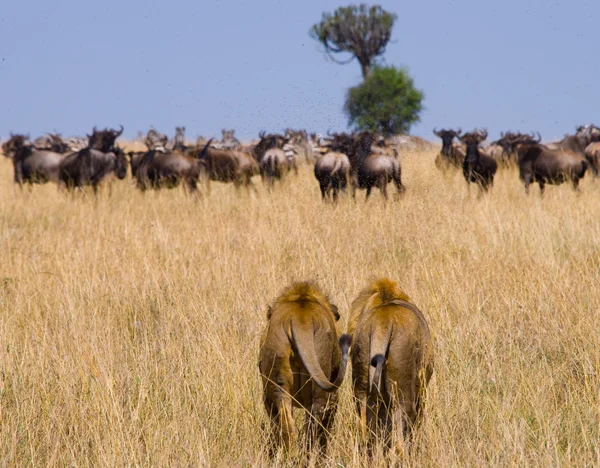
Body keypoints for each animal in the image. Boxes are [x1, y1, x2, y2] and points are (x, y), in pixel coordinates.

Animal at [258, 284, 352, 456]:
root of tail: (300, 321)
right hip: (323, 386)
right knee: (314, 424)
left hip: (278, 381)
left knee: (287, 425)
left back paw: (291, 456)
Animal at [346, 280, 436, 456]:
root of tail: (382, 323)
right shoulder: (422, 388)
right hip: (402, 385)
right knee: (404, 429)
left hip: (361, 385)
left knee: (366, 430)